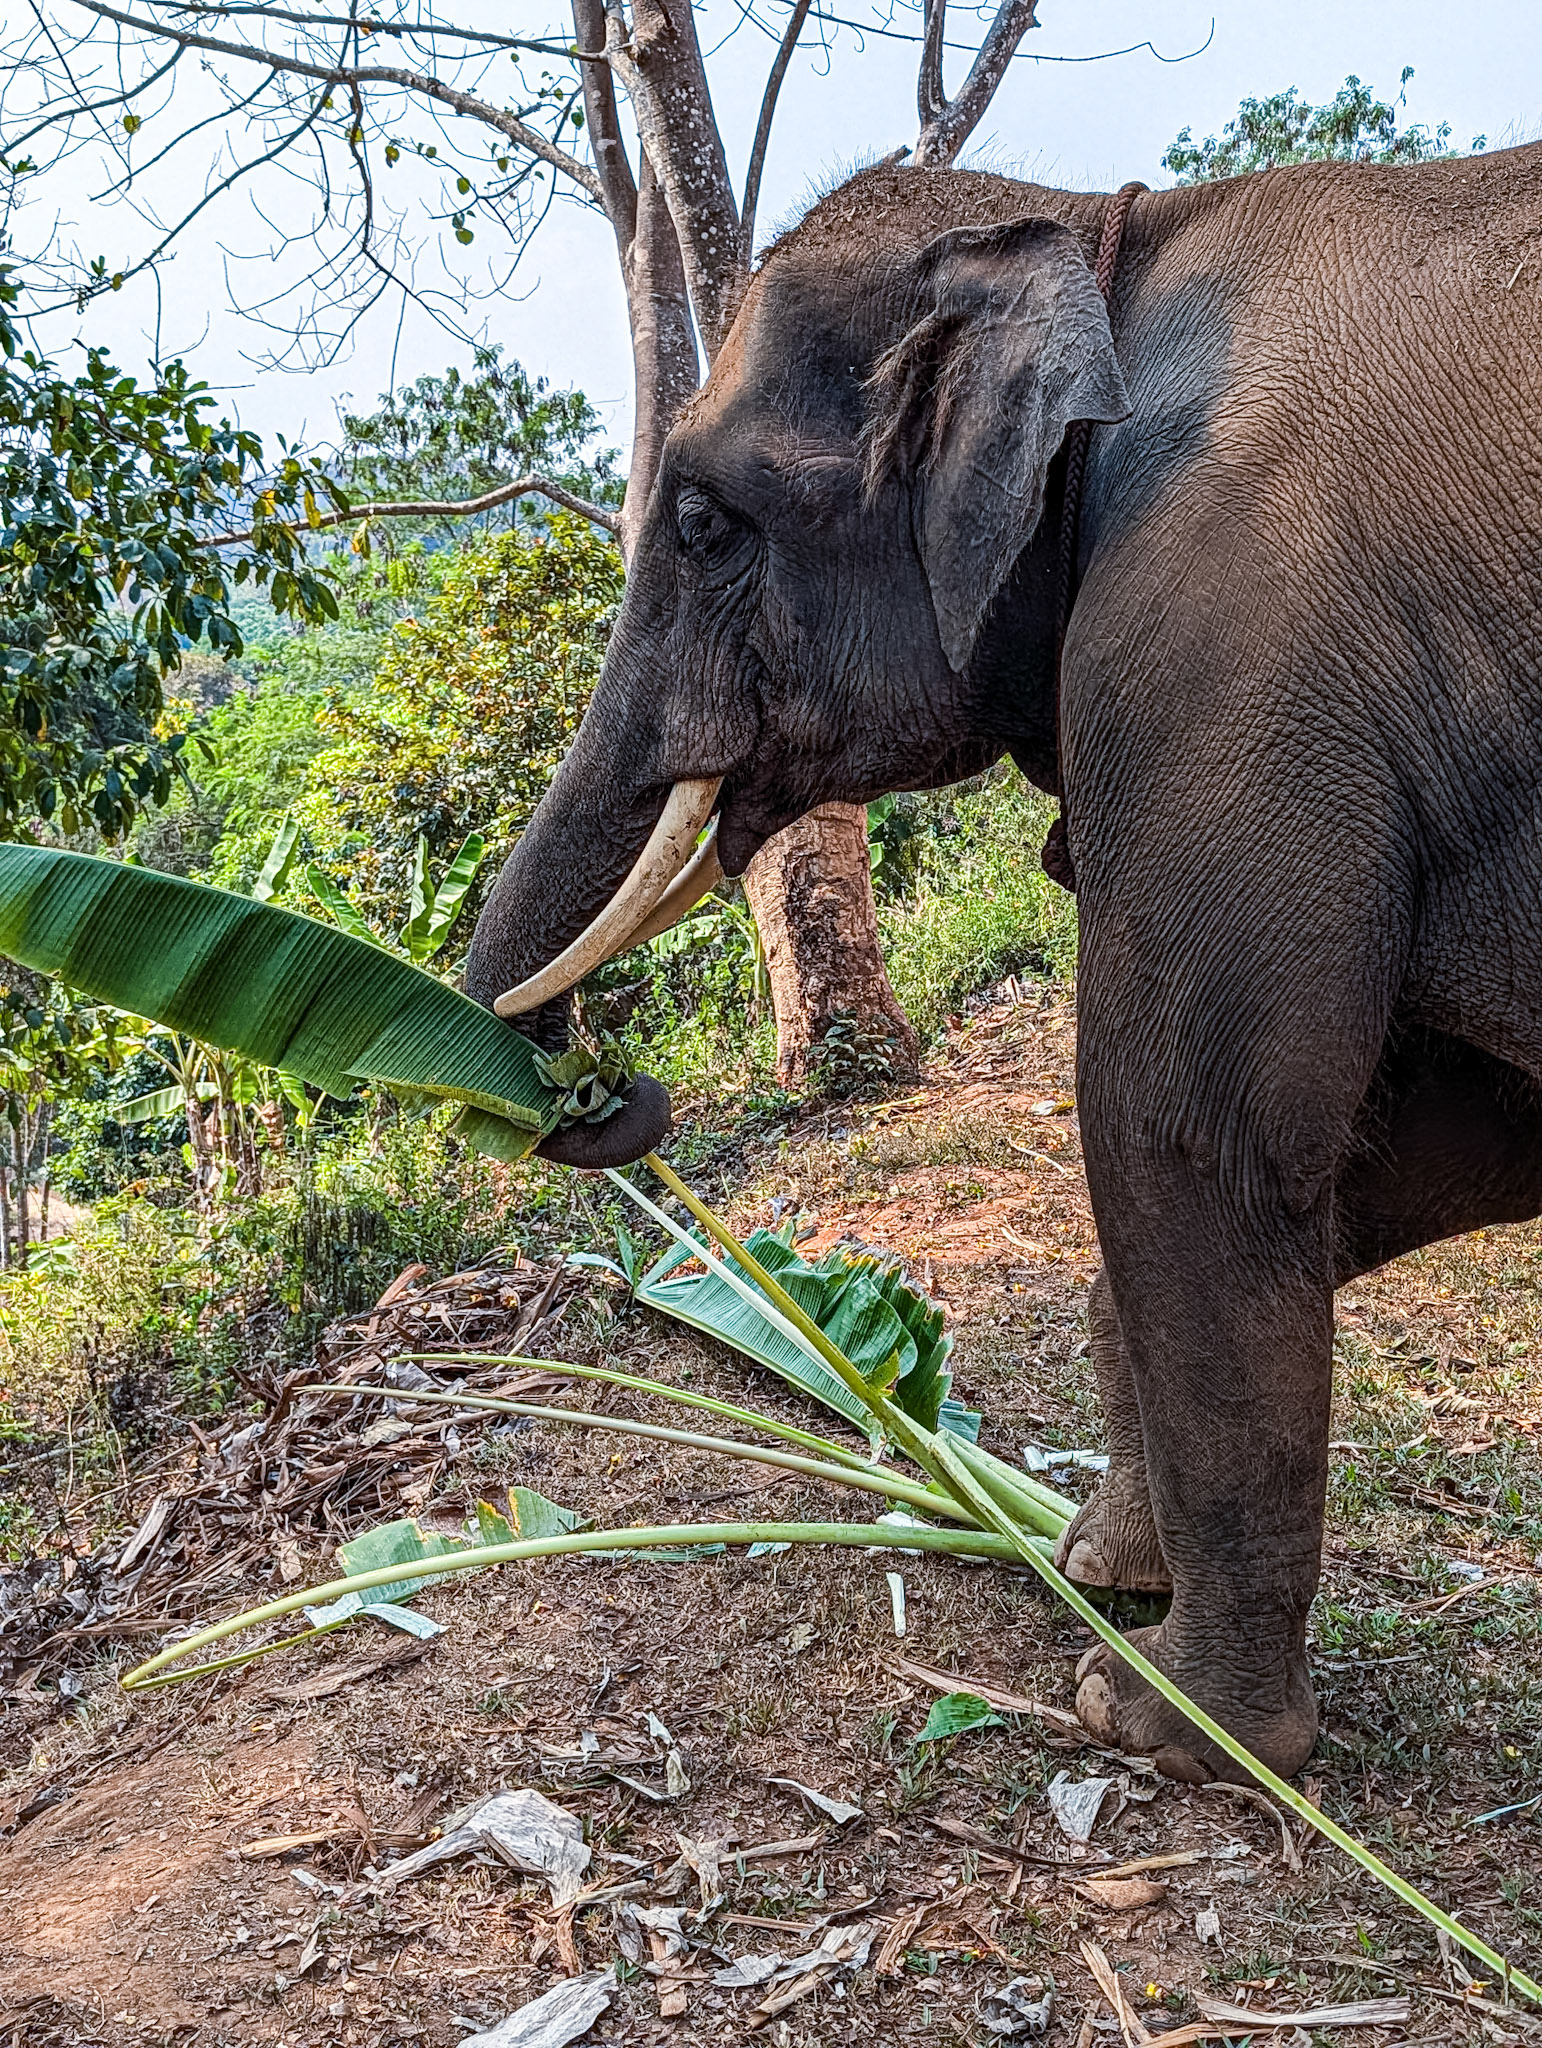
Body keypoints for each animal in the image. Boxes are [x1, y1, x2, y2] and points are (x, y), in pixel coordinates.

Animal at [466, 145, 1542, 1781]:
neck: (1100, 243)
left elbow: (1196, 1143)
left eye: (703, 522)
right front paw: (1103, 1564)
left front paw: (1163, 1720)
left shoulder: (1220, 671)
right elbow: (1449, 1129)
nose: (597, 1086)